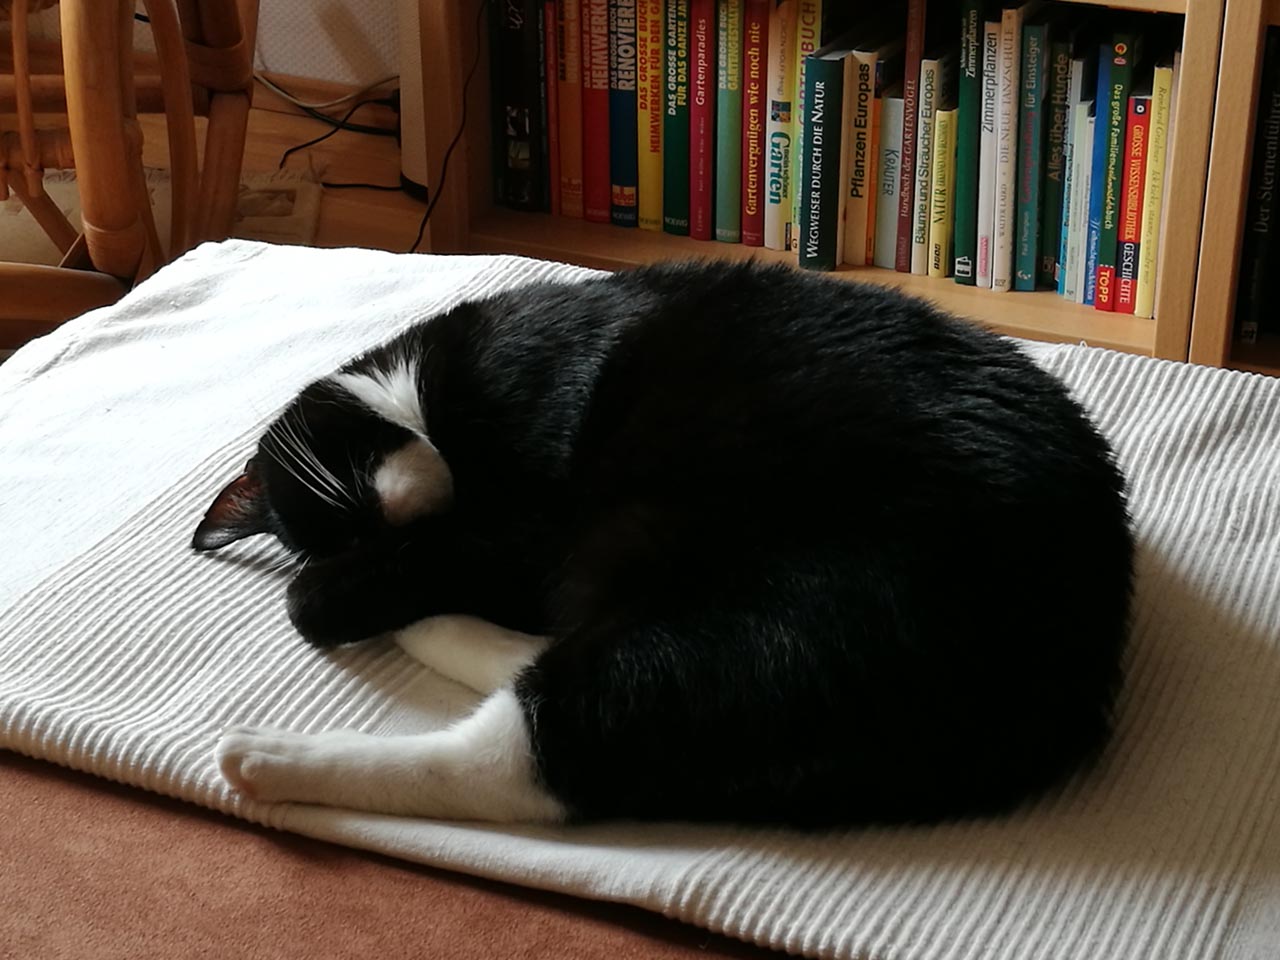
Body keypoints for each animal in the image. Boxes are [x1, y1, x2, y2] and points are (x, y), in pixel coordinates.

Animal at [195, 260, 1133, 826]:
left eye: (350, 494)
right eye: (348, 518)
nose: (392, 526)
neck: (425, 384)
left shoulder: (526, 521)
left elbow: (318, 598)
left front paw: (332, 597)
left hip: (769, 606)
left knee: (524, 759)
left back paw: (267, 757)